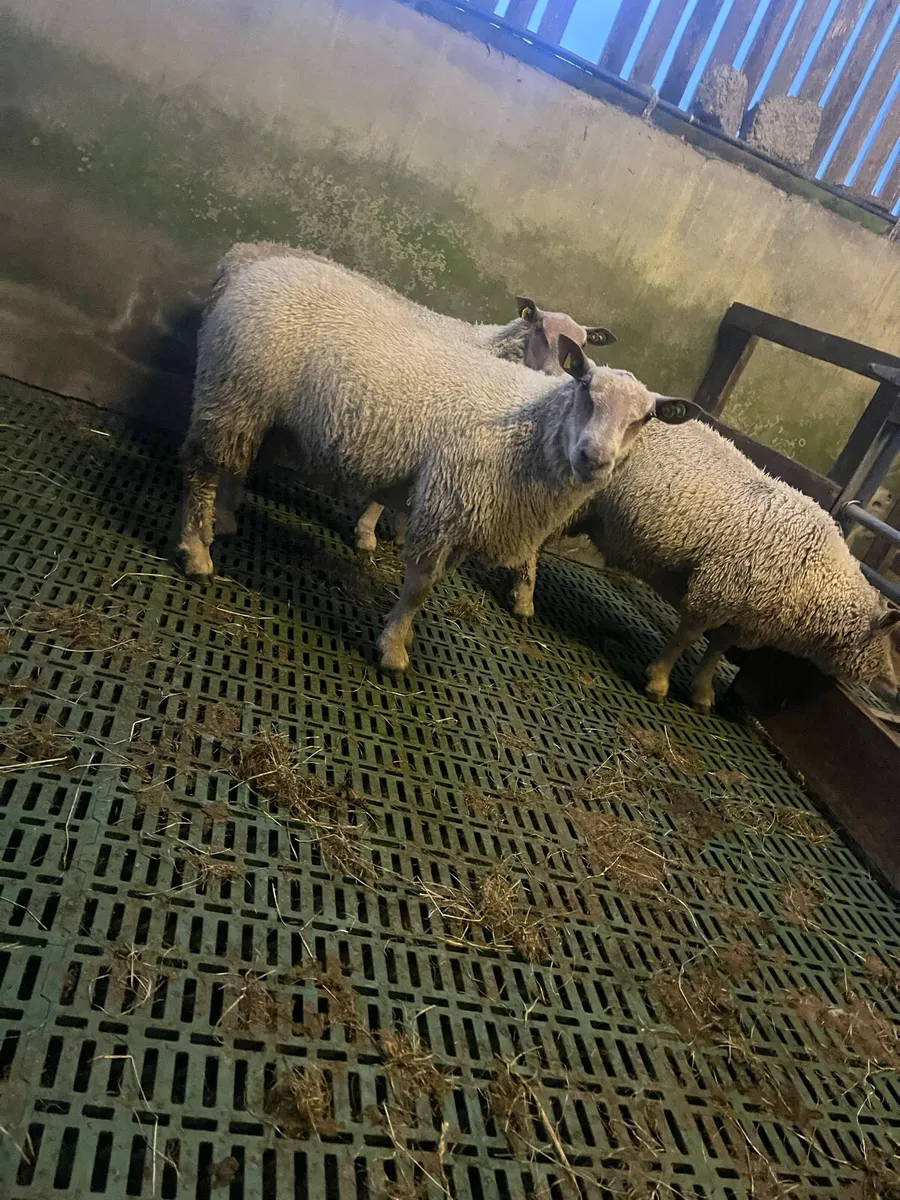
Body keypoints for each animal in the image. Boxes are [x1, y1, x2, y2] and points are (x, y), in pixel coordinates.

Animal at [206, 242, 616, 548]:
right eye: (539, 330)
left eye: (582, 343)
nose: (558, 372)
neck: (486, 344)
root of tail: (241, 251)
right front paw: (368, 534)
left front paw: (396, 532)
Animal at [570, 417, 900, 712]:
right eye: (885, 640)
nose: (894, 687)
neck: (815, 574)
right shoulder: (713, 592)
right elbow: (686, 639)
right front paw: (659, 681)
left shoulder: (739, 614)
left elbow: (717, 650)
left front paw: (702, 693)